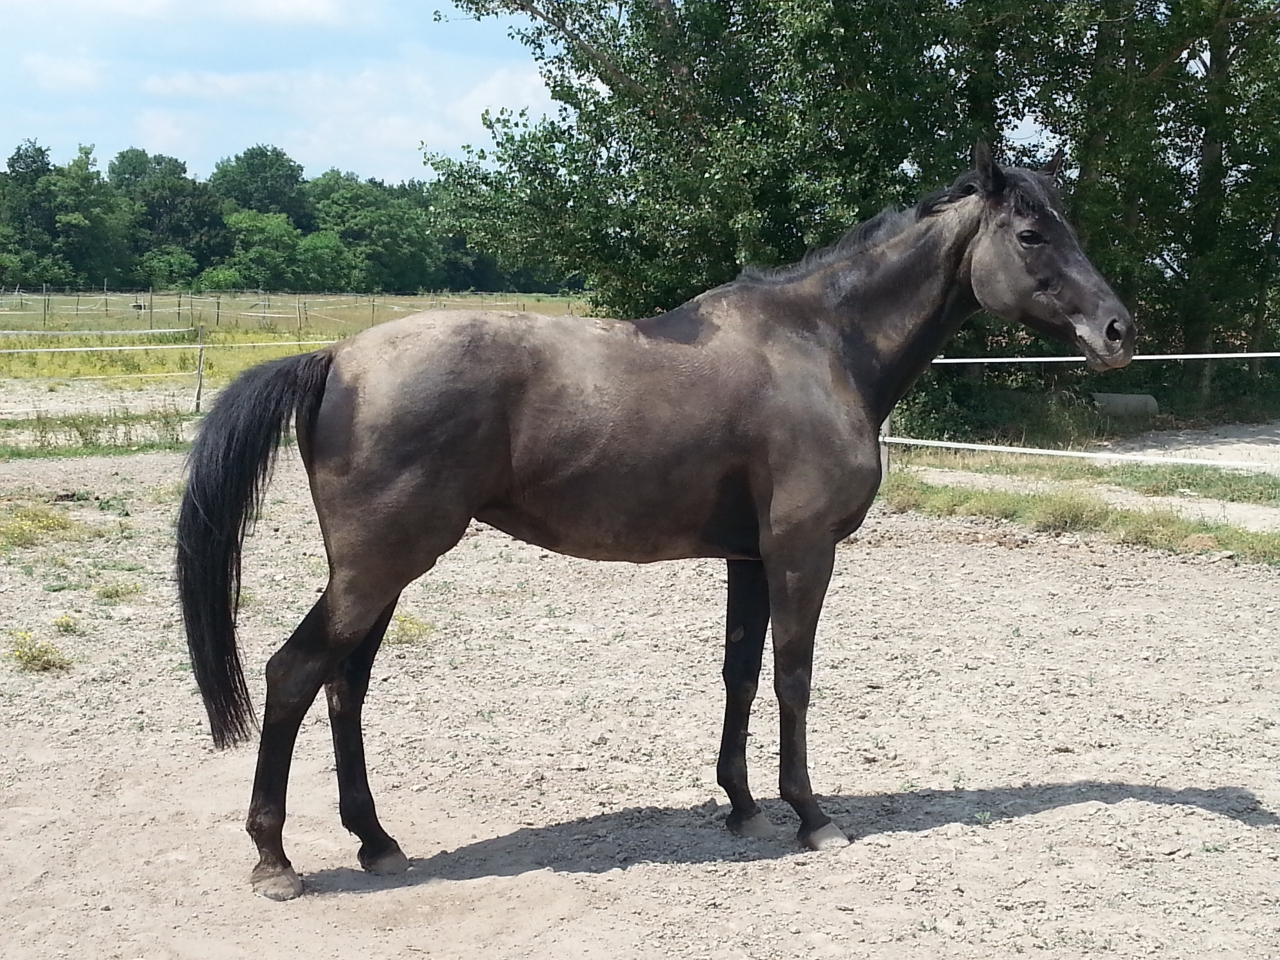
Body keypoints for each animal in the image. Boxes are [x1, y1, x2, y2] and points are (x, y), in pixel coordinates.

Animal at [176, 145, 1134, 900]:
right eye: (1032, 235)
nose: (1119, 329)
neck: (821, 343)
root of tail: (339, 357)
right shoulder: (801, 553)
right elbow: (793, 679)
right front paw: (811, 815)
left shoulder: (749, 559)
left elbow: (740, 674)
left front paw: (743, 807)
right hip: (380, 565)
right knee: (295, 673)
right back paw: (276, 861)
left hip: (382, 572)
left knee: (345, 685)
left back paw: (375, 841)